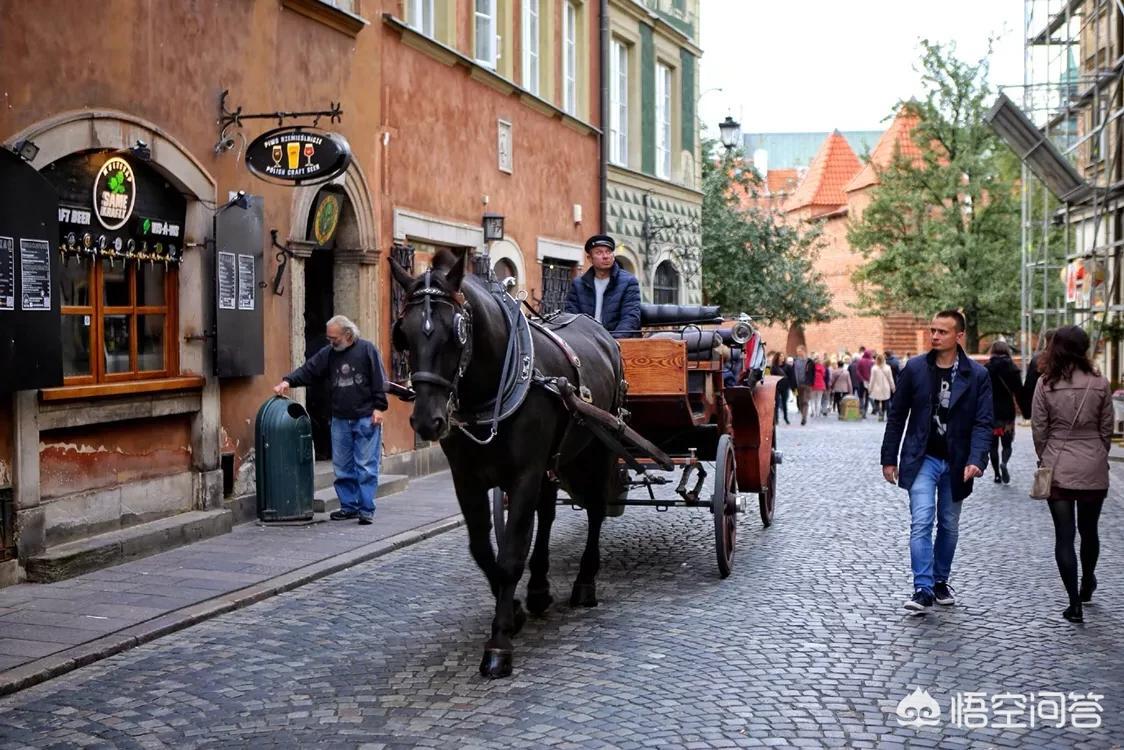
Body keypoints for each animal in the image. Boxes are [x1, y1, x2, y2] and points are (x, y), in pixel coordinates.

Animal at [391, 249, 624, 679]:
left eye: (456, 334)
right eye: (405, 334)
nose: (427, 421)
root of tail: (604, 335)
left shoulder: (524, 476)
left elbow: (512, 553)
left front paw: (499, 641)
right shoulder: (466, 480)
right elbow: (484, 550)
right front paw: (513, 609)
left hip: (598, 448)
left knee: (596, 511)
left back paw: (585, 583)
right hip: (556, 460)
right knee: (547, 516)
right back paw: (539, 590)